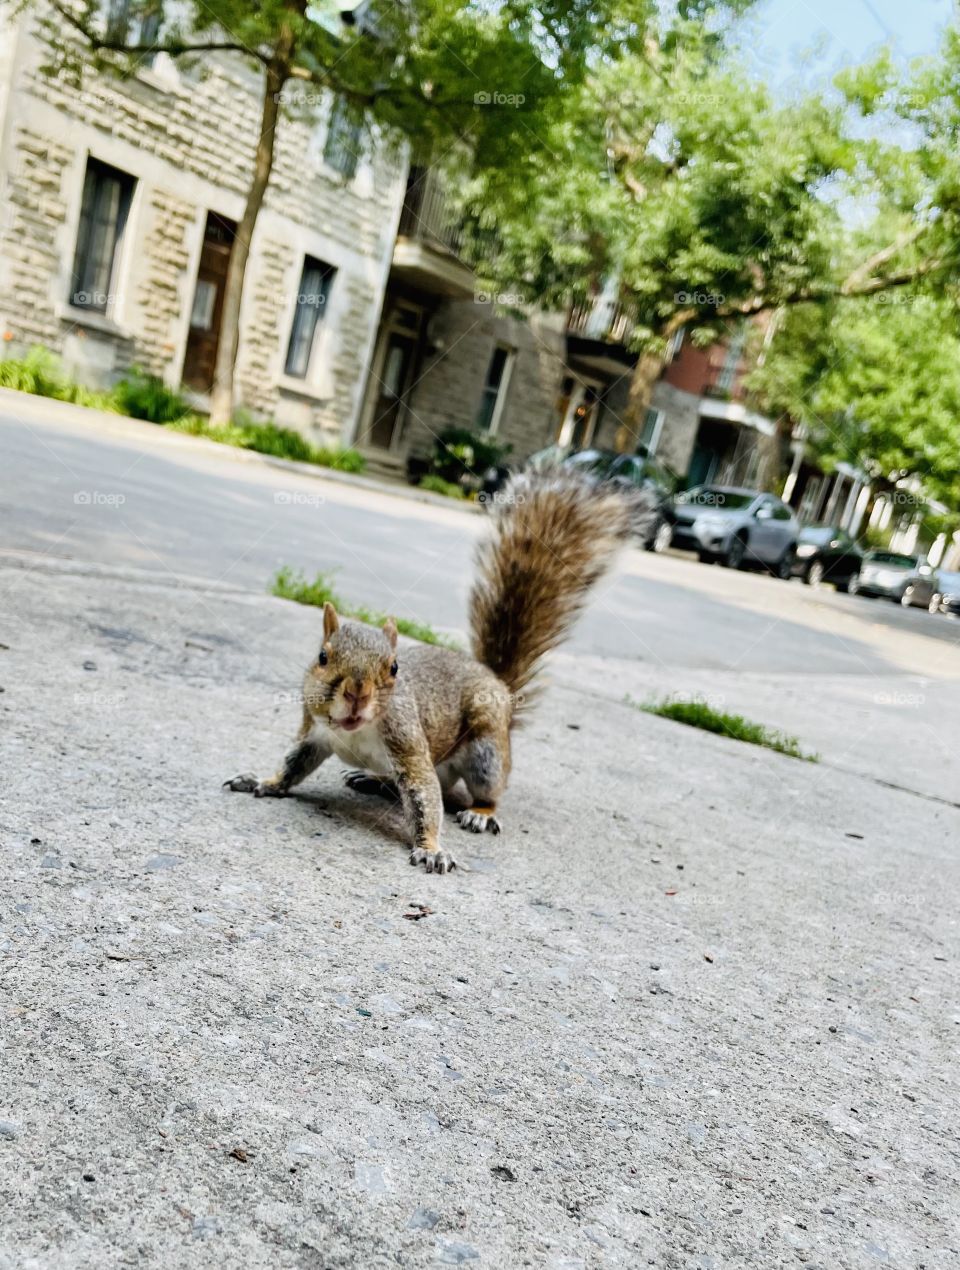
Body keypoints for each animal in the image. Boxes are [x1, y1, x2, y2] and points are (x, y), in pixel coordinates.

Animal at [225, 470, 644, 873]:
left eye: (394, 667)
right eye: (322, 657)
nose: (358, 693)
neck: (355, 731)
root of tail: (499, 686)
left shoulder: (408, 744)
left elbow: (424, 799)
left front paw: (431, 850)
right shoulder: (313, 733)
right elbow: (292, 765)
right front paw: (262, 781)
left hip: (486, 752)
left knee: (484, 791)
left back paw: (479, 813)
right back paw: (372, 778)